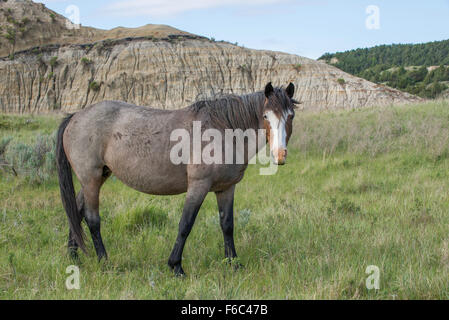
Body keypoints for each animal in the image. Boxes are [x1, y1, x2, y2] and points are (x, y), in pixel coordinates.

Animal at [56, 82, 296, 276]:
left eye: (290, 115)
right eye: (265, 116)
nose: (280, 155)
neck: (222, 131)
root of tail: (76, 116)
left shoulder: (226, 188)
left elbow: (227, 225)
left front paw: (233, 264)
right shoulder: (198, 186)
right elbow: (185, 224)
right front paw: (176, 266)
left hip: (98, 177)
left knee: (76, 211)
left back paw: (74, 256)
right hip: (91, 179)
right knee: (92, 219)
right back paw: (104, 261)